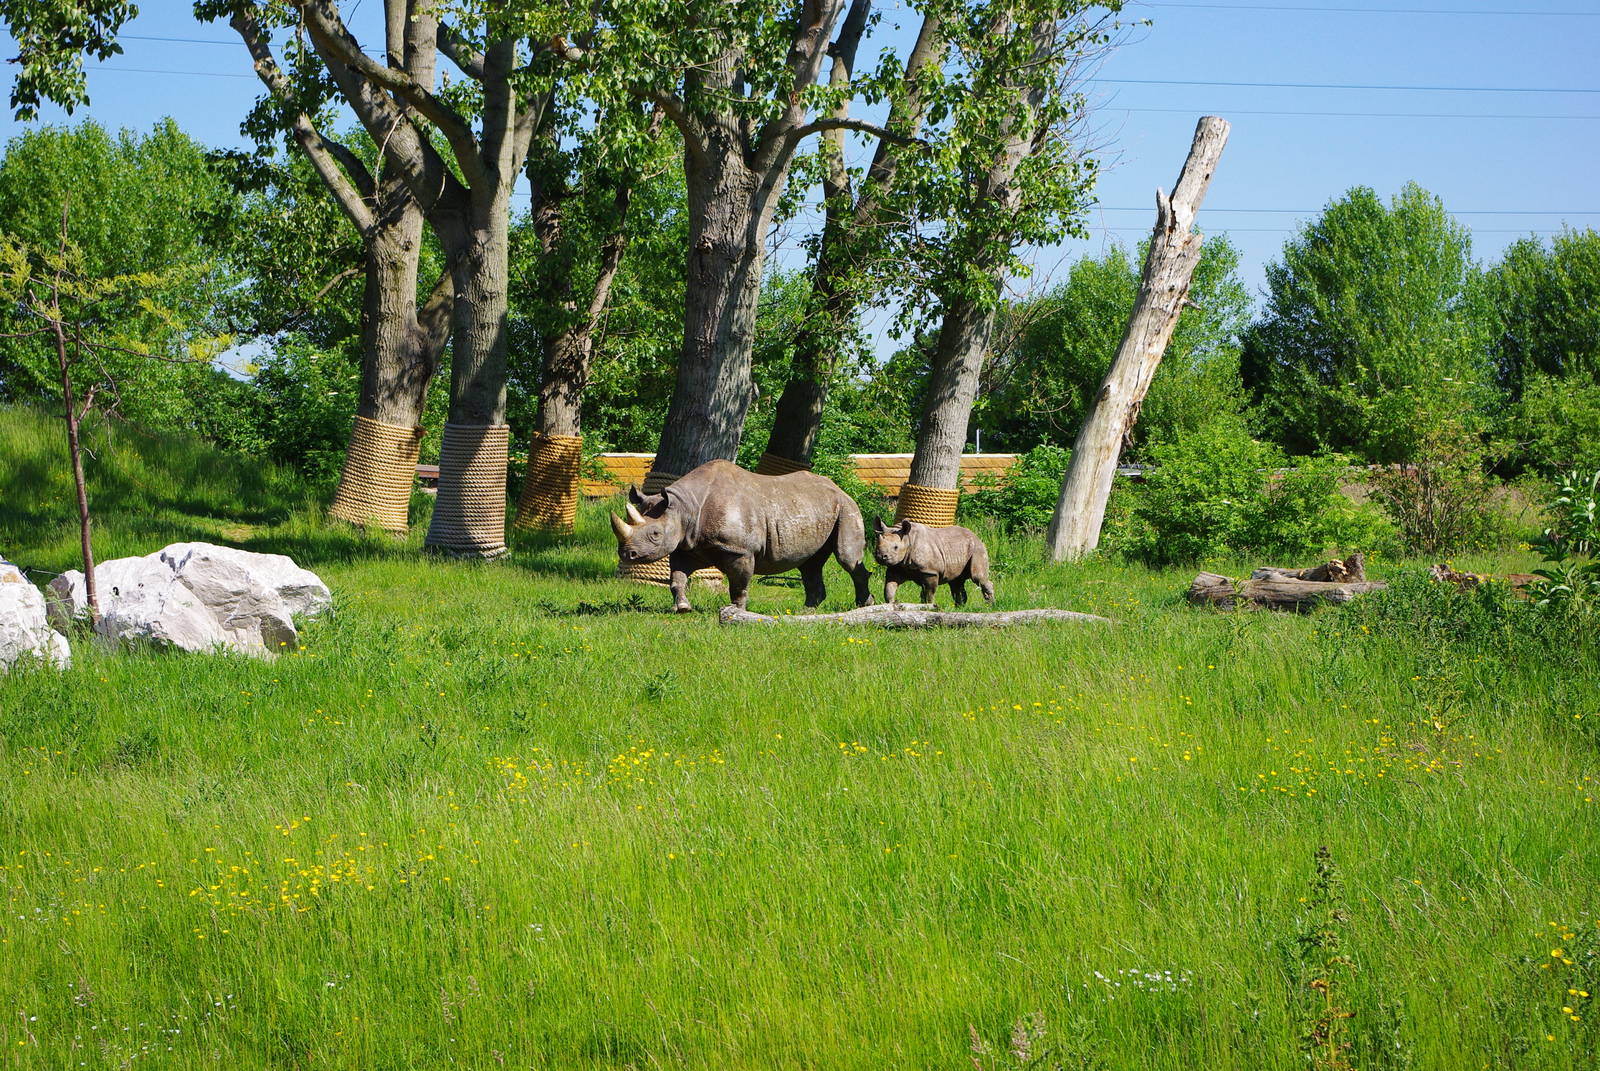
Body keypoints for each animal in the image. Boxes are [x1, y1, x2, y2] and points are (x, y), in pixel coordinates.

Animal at [610, 460, 874, 613]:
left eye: (655, 534)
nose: (627, 554)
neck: (684, 507)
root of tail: (840, 489)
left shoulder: (739, 550)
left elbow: (739, 584)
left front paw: (736, 612)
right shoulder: (686, 545)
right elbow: (677, 579)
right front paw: (682, 608)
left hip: (847, 508)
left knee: (847, 558)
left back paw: (864, 605)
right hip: (814, 507)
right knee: (810, 564)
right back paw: (806, 612)